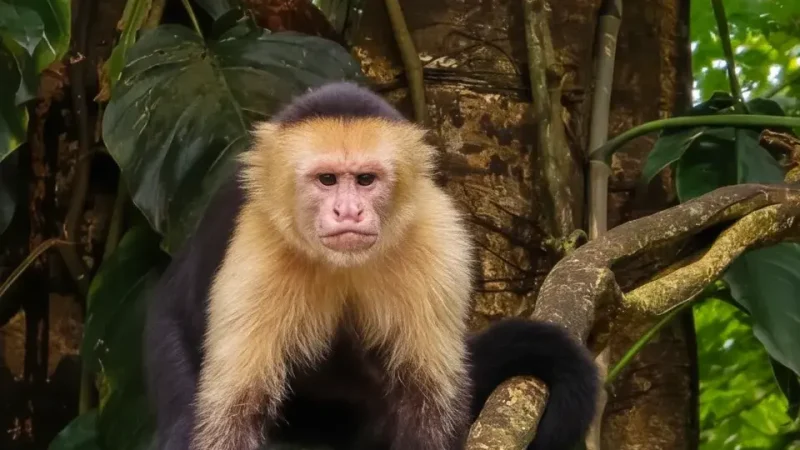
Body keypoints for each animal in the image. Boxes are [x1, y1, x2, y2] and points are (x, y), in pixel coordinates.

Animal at [143, 81, 598, 450]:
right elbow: (234, 414)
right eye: (327, 180)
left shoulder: (435, 233)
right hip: (165, 334)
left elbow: (426, 407)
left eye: (365, 180)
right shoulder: (257, 242)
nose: (348, 211)